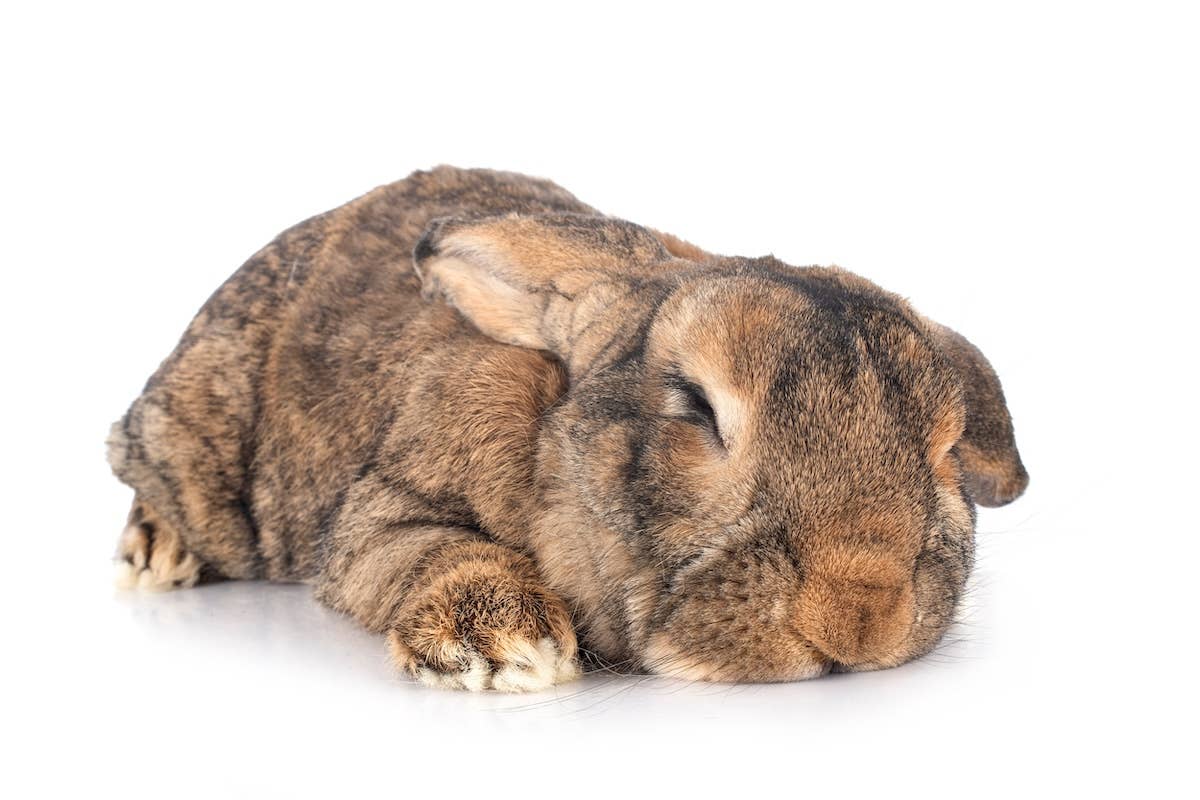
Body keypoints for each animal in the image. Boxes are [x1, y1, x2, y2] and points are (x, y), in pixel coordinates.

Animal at [107, 165, 1028, 691]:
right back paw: (157, 556)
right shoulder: (378, 517)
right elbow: (425, 551)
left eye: (945, 451)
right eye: (696, 406)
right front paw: (509, 650)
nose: (858, 616)